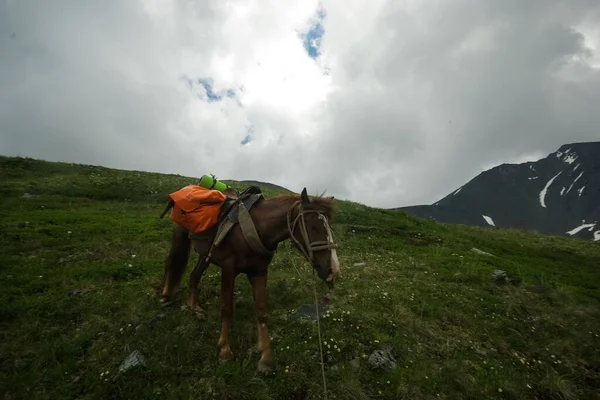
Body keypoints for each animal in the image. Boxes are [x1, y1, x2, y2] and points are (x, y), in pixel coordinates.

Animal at [159, 188, 340, 372]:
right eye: (313, 226)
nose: (333, 270)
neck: (258, 228)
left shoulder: (259, 273)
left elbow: (261, 311)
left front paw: (265, 357)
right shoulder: (228, 269)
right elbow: (226, 308)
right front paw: (225, 349)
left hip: (205, 255)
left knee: (194, 276)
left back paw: (194, 306)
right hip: (179, 237)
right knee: (171, 263)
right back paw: (166, 296)